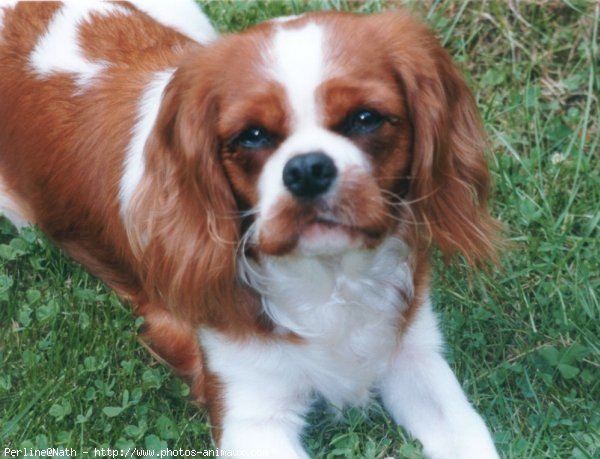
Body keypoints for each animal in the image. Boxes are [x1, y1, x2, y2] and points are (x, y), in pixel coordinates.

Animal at [0, 1, 502, 458]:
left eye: (365, 118)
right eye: (252, 136)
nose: (307, 169)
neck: (331, 278)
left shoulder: (415, 354)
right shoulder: (252, 415)